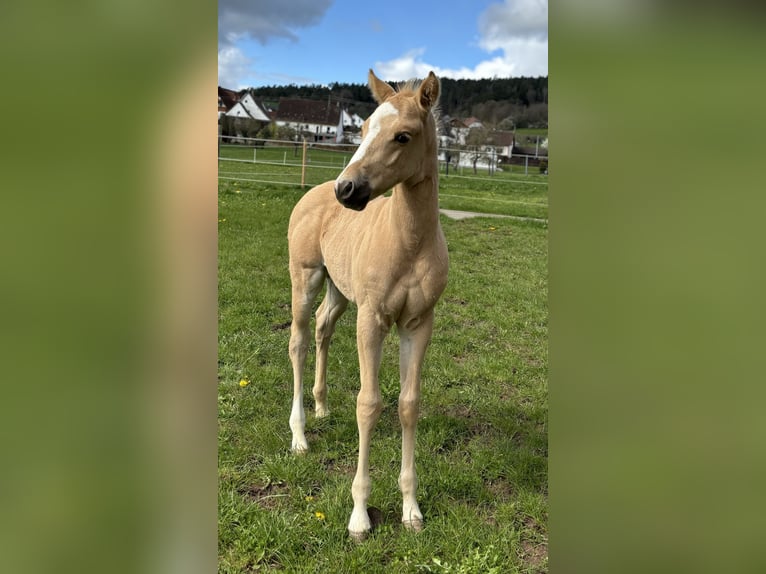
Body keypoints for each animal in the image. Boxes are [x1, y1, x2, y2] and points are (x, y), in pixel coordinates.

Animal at [286, 70, 450, 544]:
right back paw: (299, 436)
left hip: (340, 292)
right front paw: (359, 515)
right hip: (305, 280)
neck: (408, 243)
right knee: (298, 342)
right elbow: (369, 404)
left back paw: (322, 407)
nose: (346, 189)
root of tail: (312, 193)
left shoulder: (418, 323)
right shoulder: (372, 319)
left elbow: (408, 404)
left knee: (322, 329)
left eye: (403, 136)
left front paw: (411, 509)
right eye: (360, 130)